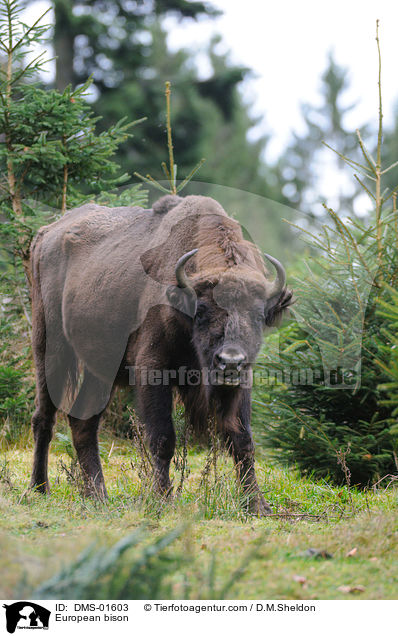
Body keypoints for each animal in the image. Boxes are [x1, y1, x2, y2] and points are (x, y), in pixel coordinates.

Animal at [29, 193, 290, 512]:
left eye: (257, 314)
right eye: (202, 311)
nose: (230, 362)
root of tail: (46, 233)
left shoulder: (243, 384)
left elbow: (243, 440)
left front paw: (256, 504)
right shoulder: (153, 370)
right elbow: (163, 437)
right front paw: (163, 497)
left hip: (99, 369)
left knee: (83, 423)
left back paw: (97, 494)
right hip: (49, 348)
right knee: (44, 417)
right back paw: (40, 488)